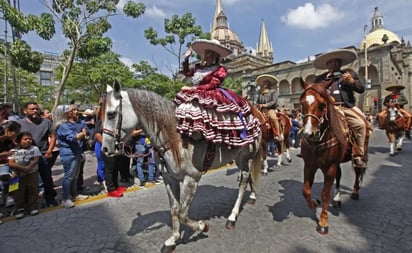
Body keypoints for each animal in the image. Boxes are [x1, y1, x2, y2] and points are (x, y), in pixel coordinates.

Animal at [101, 81, 262, 253]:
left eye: (111, 114)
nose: (105, 149)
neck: (175, 138)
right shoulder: (169, 179)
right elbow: (175, 209)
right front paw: (173, 239)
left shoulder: (191, 179)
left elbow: (183, 214)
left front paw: (202, 226)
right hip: (241, 159)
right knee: (249, 177)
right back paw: (252, 197)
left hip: (245, 157)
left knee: (243, 182)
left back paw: (232, 217)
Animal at [298, 78, 368, 234]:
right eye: (302, 104)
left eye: (322, 104)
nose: (308, 134)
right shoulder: (309, 166)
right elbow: (306, 191)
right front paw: (314, 203)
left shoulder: (330, 167)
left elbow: (325, 194)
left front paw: (323, 222)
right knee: (339, 175)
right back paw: (337, 198)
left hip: (360, 151)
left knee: (357, 171)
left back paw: (355, 192)